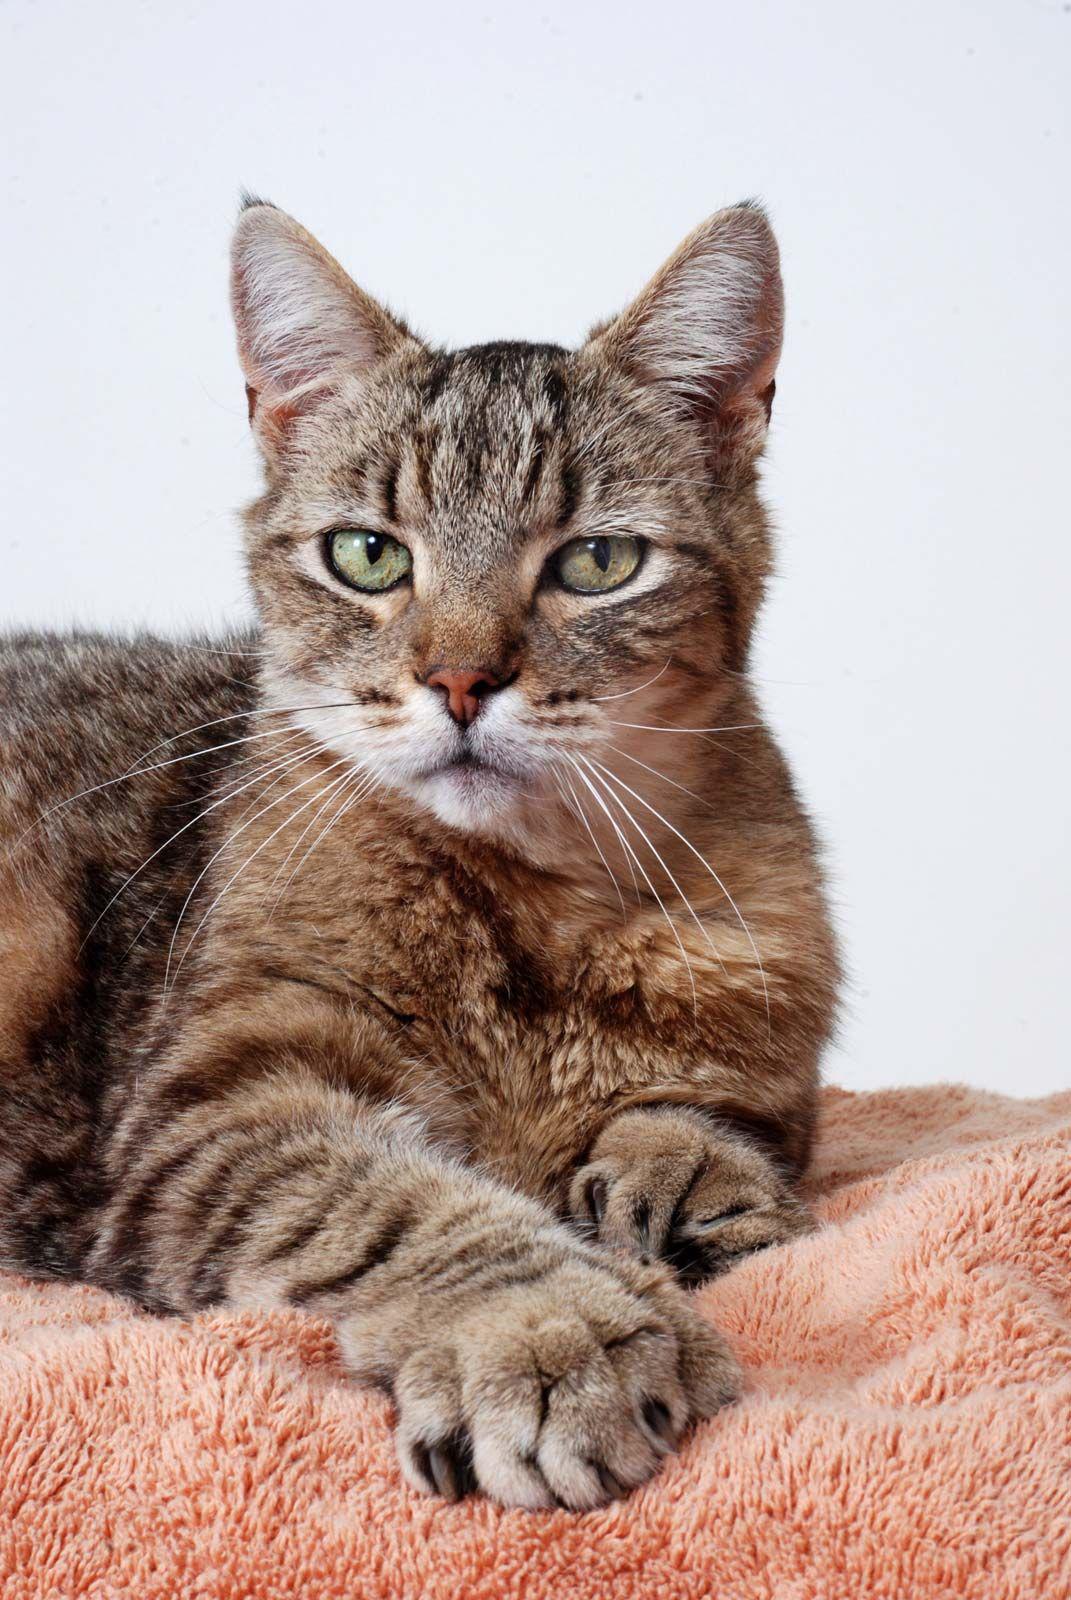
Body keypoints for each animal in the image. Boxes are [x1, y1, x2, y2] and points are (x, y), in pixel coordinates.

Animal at [0, 193, 832, 1504]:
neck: (540, 909)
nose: (460, 680)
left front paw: (689, 1180)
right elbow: (397, 1200)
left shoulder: (769, 1069)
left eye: (598, 561)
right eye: (368, 554)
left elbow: (716, 1119)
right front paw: (553, 1326)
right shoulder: (214, 1115)